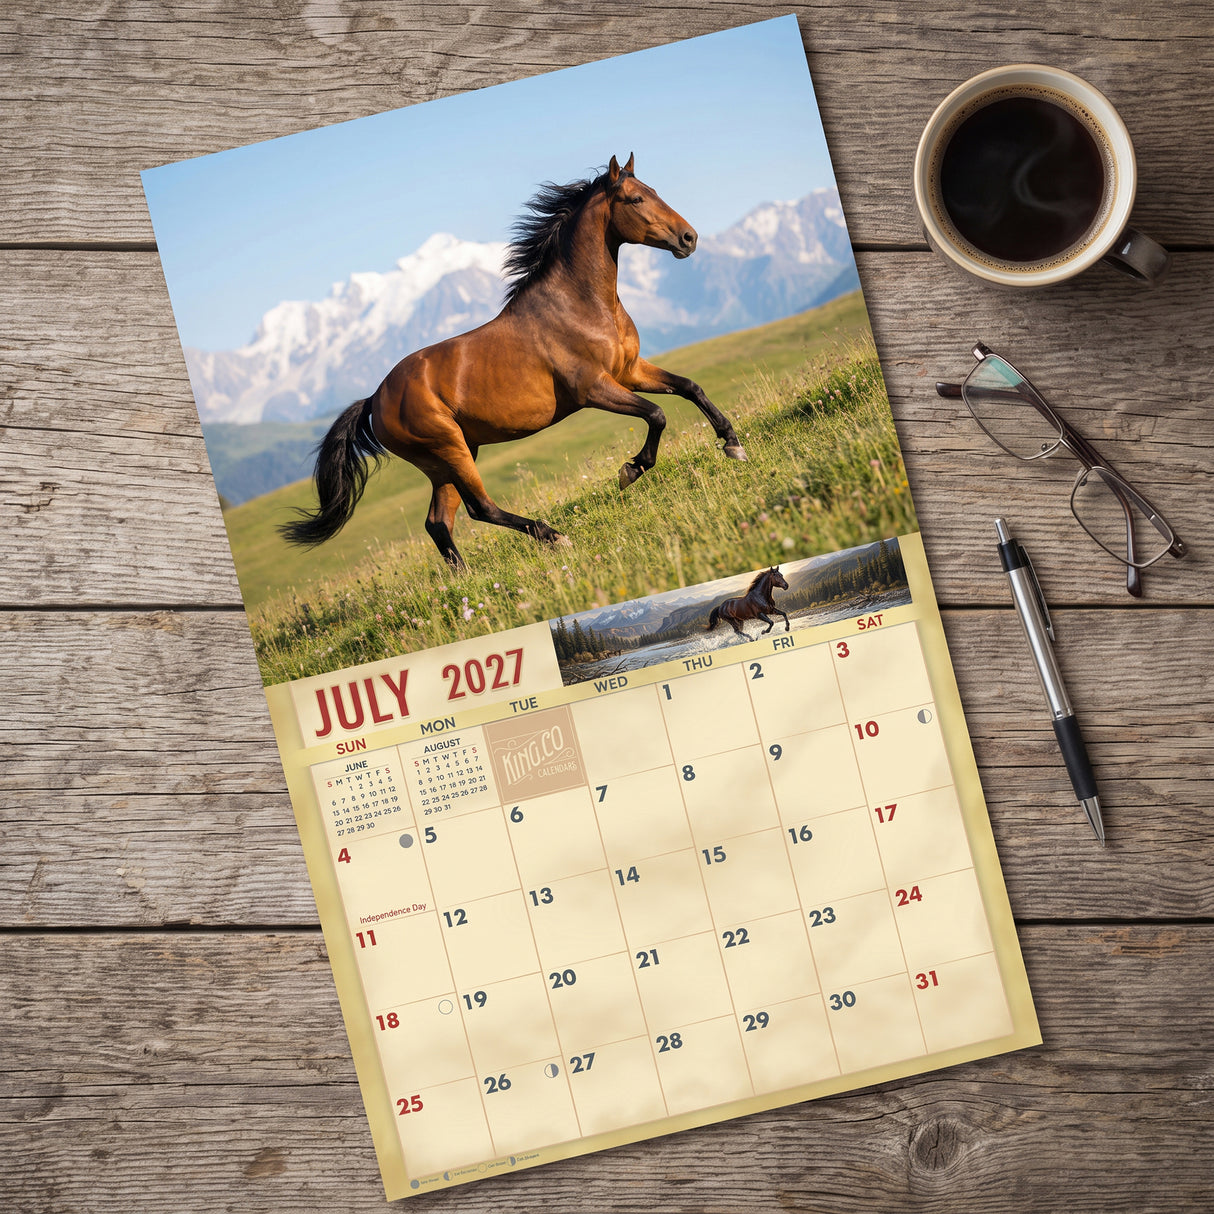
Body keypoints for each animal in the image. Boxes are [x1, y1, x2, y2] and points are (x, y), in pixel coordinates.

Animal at [279, 154, 748, 569]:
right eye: (634, 199)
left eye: (654, 191)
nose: (689, 239)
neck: (580, 305)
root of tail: (375, 399)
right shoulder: (594, 388)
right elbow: (656, 414)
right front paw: (631, 470)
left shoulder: (629, 371)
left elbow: (689, 388)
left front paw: (732, 444)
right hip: (450, 449)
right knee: (479, 508)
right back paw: (553, 536)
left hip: (447, 457)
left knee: (438, 522)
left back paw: (464, 583)